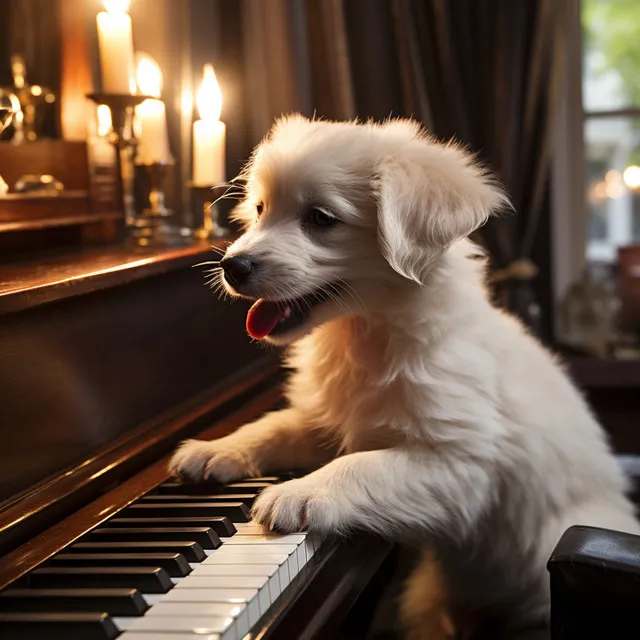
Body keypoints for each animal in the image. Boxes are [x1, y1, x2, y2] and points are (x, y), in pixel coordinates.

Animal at [168, 117, 636, 636]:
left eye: (321, 219)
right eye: (260, 209)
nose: (231, 265)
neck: (366, 332)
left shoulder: (462, 464)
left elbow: (362, 465)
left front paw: (297, 492)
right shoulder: (329, 418)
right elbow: (274, 427)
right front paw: (215, 449)